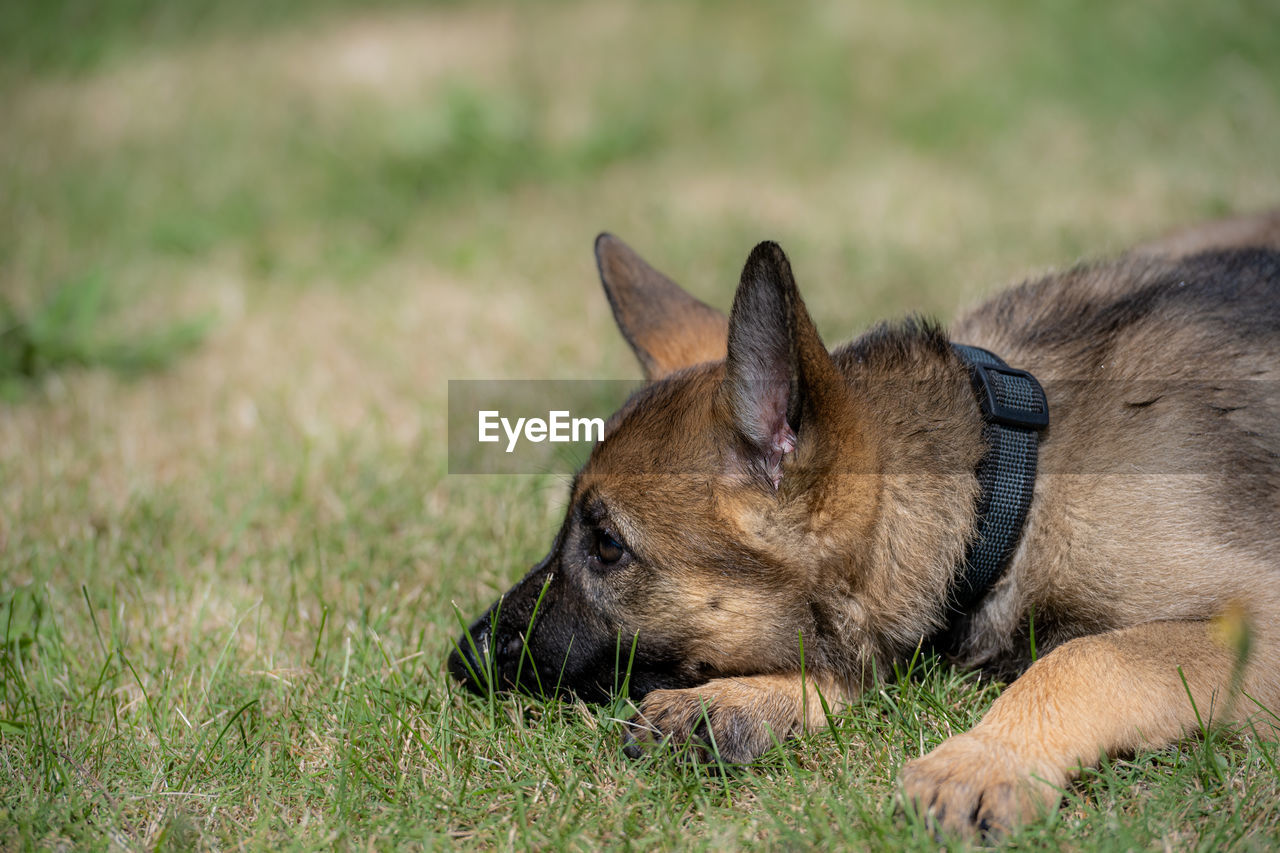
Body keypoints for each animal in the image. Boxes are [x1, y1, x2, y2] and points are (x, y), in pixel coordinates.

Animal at [450, 211, 1280, 829]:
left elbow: (1093, 655)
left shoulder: (1261, 620)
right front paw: (742, 700)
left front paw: (984, 759)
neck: (1005, 484)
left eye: (606, 544)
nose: (462, 658)